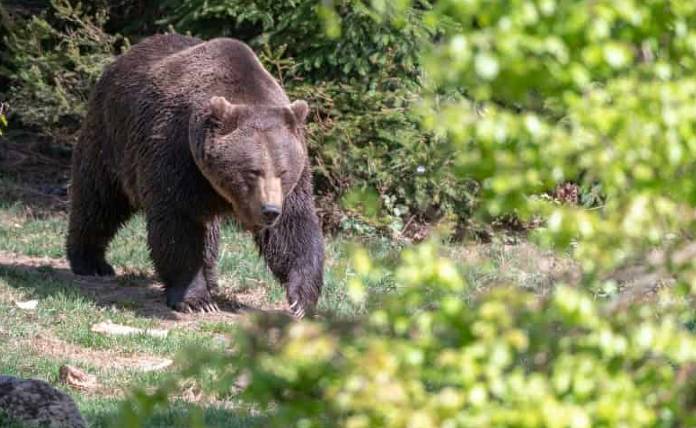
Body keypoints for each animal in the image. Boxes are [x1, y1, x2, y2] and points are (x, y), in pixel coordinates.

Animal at [65, 34, 324, 318]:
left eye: (283, 171)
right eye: (252, 171)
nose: (269, 211)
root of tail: (120, 59)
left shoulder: (293, 181)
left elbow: (293, 229)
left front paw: (301, 301)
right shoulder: (175, 154)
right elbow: (178, 225)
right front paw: (196, 299)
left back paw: (212, 279)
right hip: (111, 138)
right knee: (98, 199)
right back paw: (91, 262)